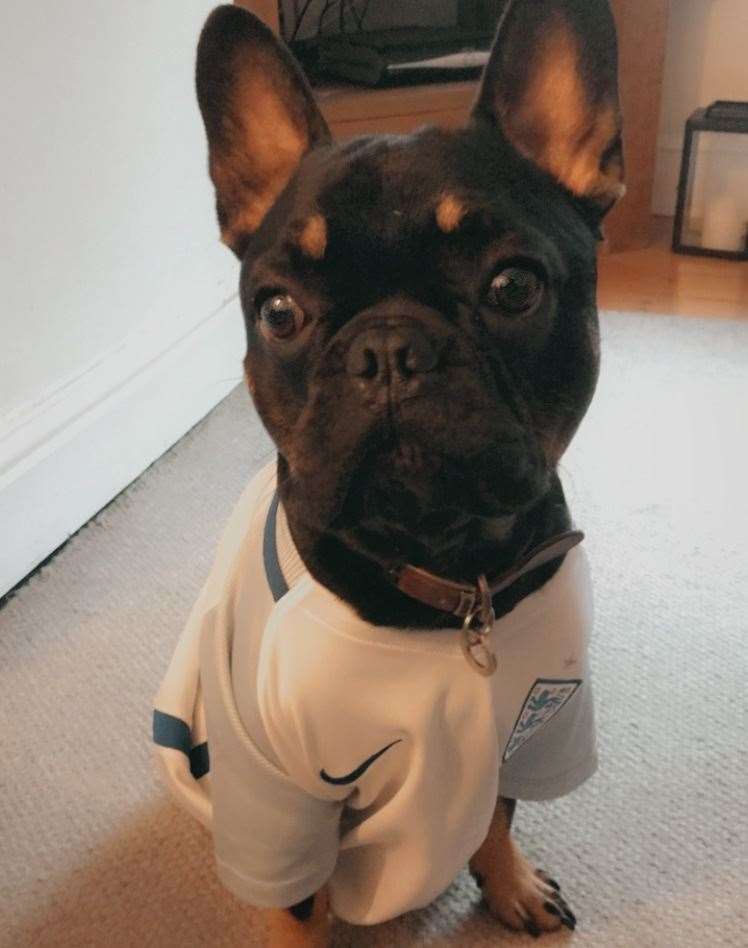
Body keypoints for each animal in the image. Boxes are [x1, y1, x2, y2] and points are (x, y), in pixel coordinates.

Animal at [153, 1, 624, 940]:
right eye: (279, 311)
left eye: (513, 287)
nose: (387, 349)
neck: (447, 578)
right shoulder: (281, 806)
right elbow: (299, 913)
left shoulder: (531, 729)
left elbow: (494, 814)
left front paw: (509, 883)